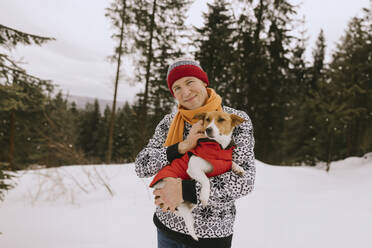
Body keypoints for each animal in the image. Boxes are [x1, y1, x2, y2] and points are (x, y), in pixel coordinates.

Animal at [150, 111, 246, 240]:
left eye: (221, 119)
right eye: (207, 119)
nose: (208, 129)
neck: (219, 147)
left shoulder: (223, 162)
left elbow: (231, 162)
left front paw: (238, 168)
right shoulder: (193, 168)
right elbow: (206, 180)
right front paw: (204, 196)